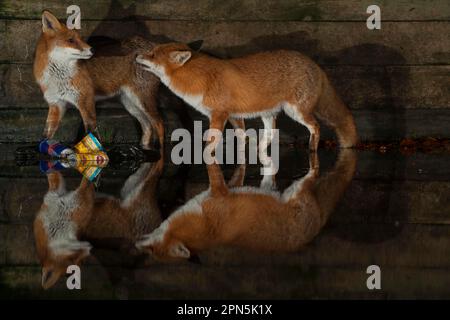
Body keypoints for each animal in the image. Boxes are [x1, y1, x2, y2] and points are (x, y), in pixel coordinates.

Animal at [33, 10, 163, 149]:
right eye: (71, 40)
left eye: (80, 38)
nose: (92, 49)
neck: (58, 77)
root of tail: (151, 44)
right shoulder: (56, 104)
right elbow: (45, 134)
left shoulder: (86, 100)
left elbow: (91, 131)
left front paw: (94, 150)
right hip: (130, 103)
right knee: (147, 125)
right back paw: (143, 147)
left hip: (143, 100)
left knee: (159, 124)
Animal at [135, 149, 356, 262]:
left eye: (152, 251)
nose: (136, 243)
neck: (205, 225)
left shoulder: (218, 192)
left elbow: (212, 165)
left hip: (300, 187)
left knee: (313, 173)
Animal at [136, 41, 358, 150]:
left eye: (152, 54)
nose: (136, 55)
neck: (201, 78)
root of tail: (315, 65)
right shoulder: (233, 115)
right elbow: (242, 137)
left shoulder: (219, 114)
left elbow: (211, 142)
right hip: (269, 114)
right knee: (271, 134)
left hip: (296, 112)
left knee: (316, 126)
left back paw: (312, 149)